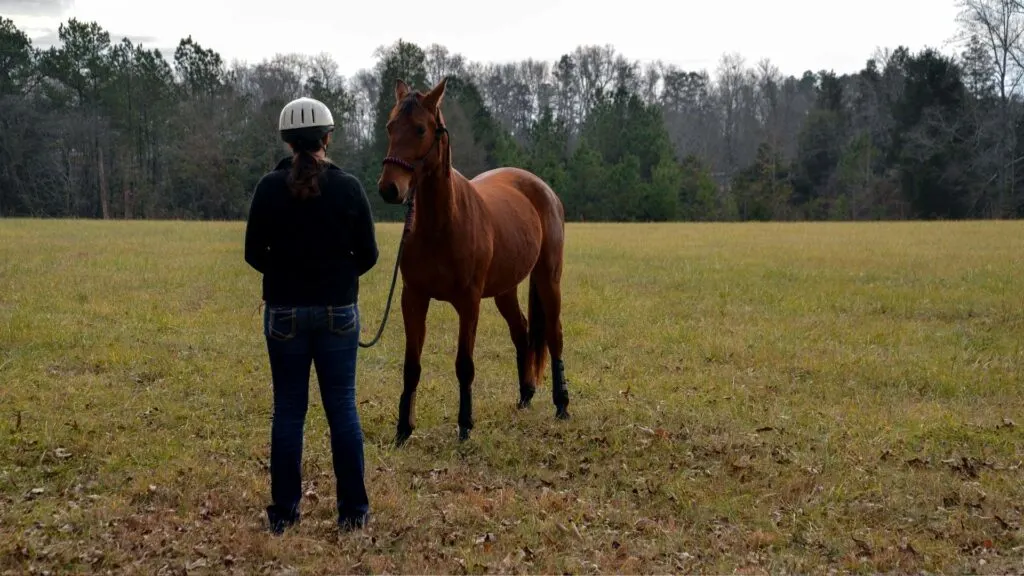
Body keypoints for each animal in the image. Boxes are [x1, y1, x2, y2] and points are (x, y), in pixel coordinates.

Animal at [376, 76, 570, 445]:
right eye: (391, 126)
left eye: (420, 129)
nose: (389, 189)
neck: (441, 224)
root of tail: (541, 187)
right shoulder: (413, 298)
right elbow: (411, 365)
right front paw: (403, 430)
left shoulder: (469, 302)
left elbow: (464, 364)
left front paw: (465, 425)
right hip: (505, 289)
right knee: (522, 331)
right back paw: (525, 395)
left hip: (548, 278)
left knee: (553, 335)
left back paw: (562, 405)